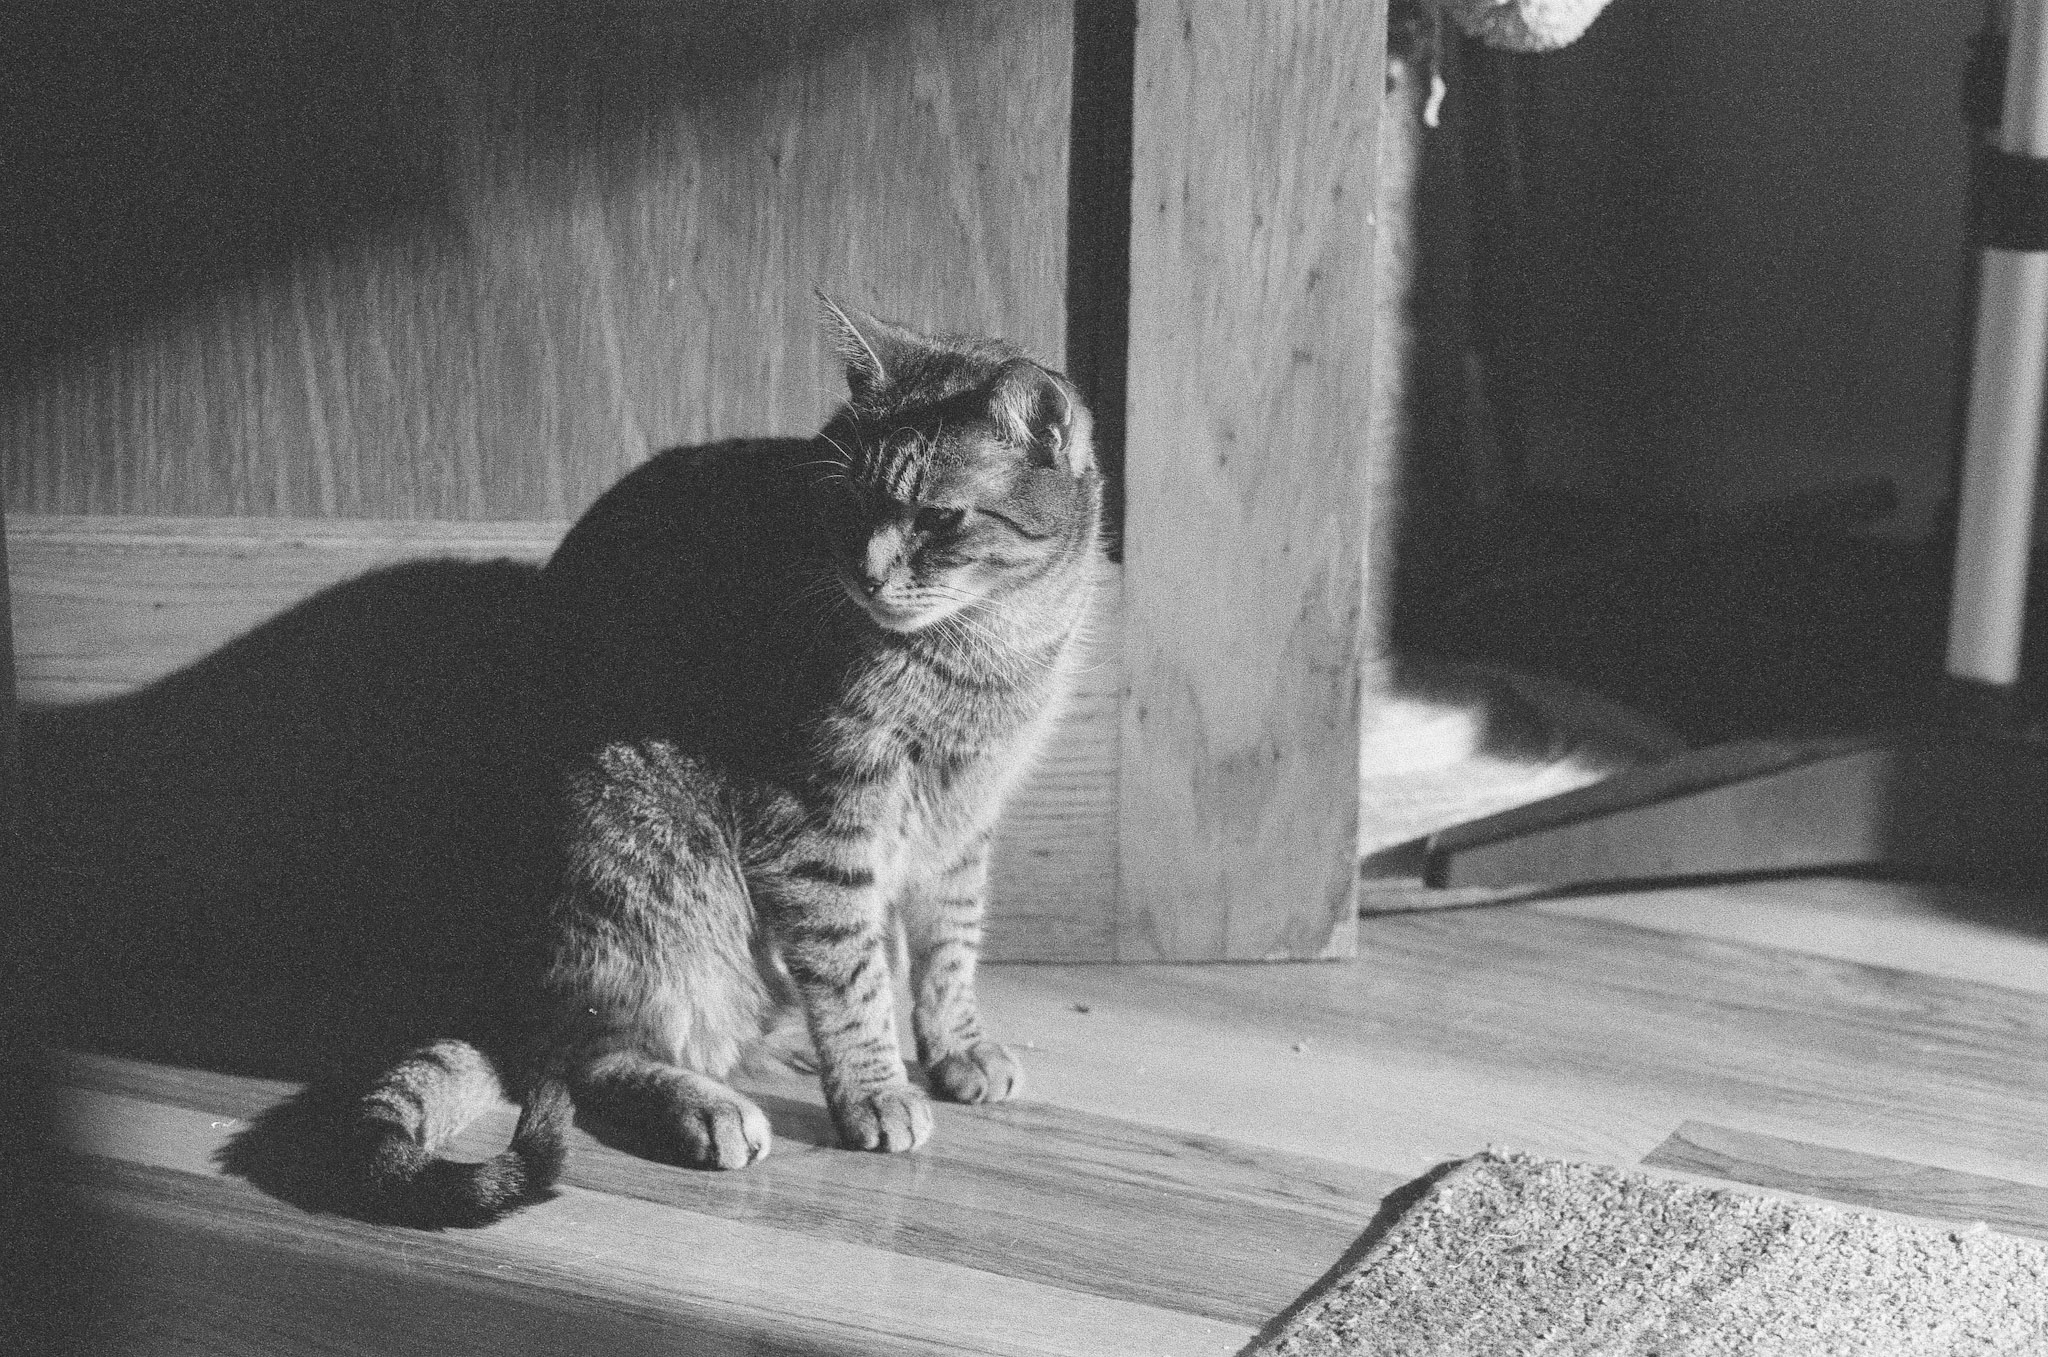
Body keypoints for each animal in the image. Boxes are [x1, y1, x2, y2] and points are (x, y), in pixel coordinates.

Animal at [342, 300, 1105, 1228]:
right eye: (841, 505)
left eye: (939, 519)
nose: (865, 572)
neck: (987, 654)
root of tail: (508, 993)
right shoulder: (815, 824)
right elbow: (850, 973)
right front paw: (875, 1088)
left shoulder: (963, 822)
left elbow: (949, 948)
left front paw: (955, 1045)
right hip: (643, 877)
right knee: (588, 1056)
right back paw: (708, 1103)